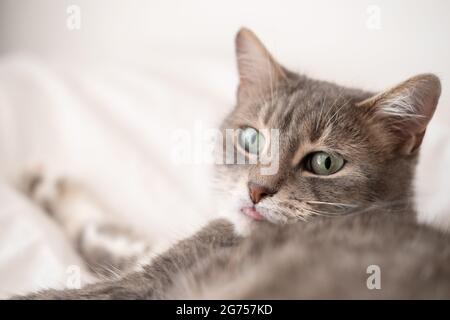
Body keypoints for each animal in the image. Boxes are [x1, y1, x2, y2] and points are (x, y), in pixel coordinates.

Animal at [14, 28, 450, 300]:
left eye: (326, 162)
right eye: (250, 138)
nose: (256, 189)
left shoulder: (145, 283)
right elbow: (108, 233)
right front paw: (47, 186)